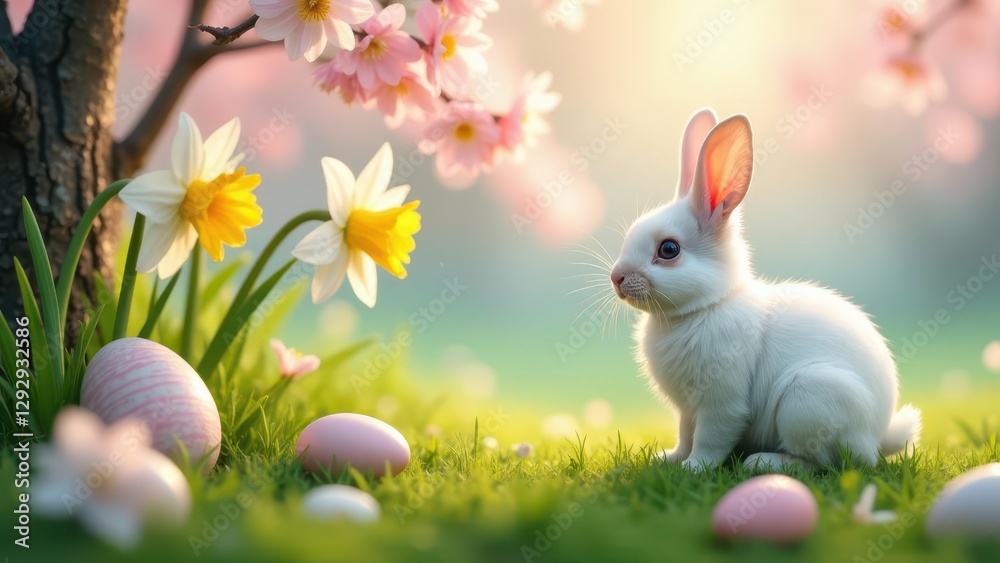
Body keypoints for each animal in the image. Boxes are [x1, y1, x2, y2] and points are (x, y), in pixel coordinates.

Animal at [610, 108, 921, 472]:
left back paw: (762, 463)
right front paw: (669, 459)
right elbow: (685, 436)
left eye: (669, 249)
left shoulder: (722, 402)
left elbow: (710, 439)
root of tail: (878, 436)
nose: (616, 278)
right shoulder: (687, 409)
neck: (706, 306)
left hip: (807, 400)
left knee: (826, 463)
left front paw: (693, 468)